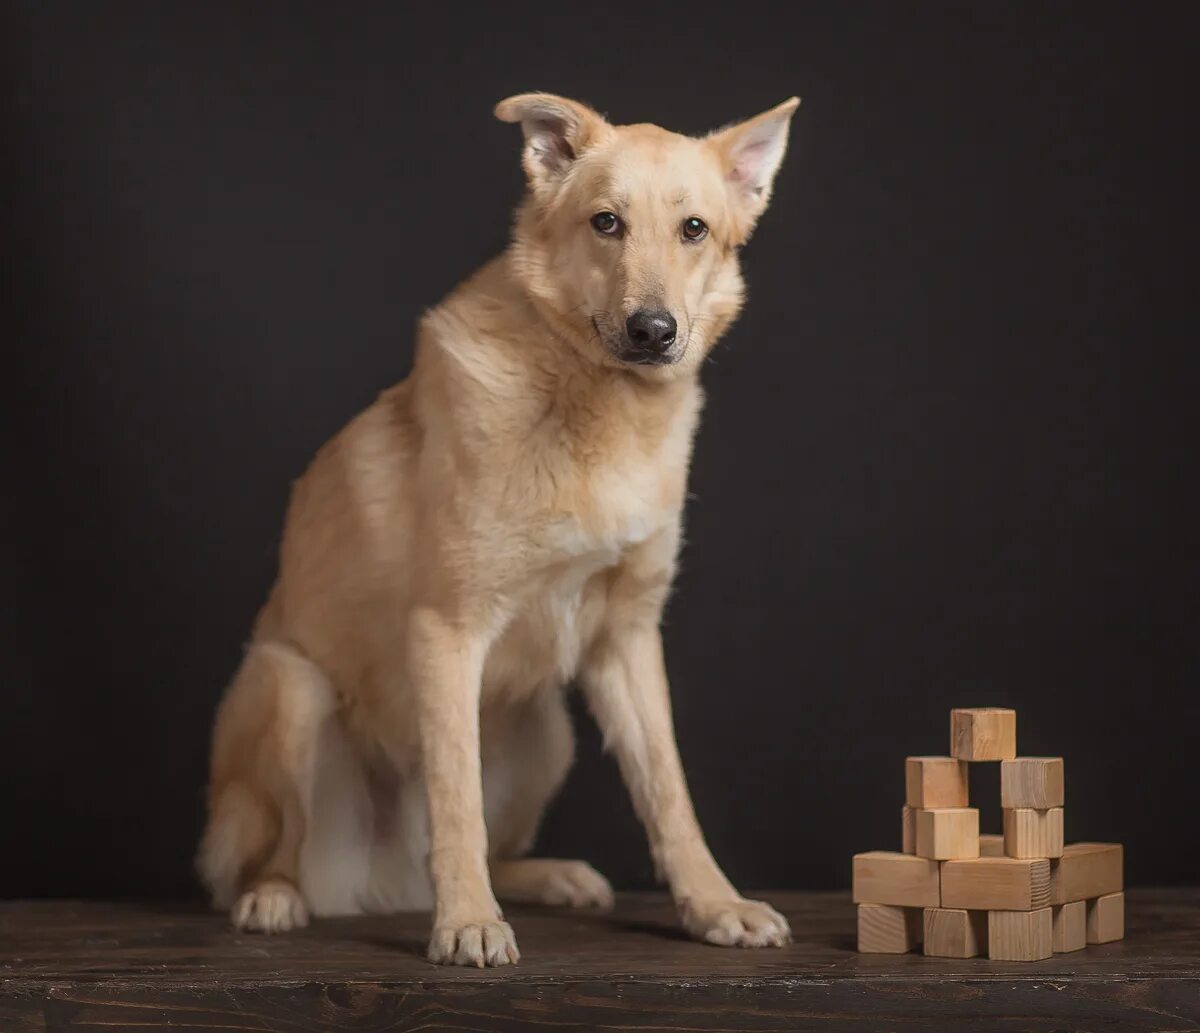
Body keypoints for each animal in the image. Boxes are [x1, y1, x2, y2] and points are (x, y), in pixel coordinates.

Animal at [199, 90, 796, 969]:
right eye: (605, 222)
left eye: (694, 229)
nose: (653, 330)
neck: (597, 403)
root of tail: (376, 881)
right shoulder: (447, 630)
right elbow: (457, 801)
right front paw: (468, 921)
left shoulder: (627, 637)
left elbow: (668, 791)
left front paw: (713, 903)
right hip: (288, 688)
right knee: (279, 850)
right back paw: (276, 896)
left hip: (548, 731)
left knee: (488, 839)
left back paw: (548, 876)